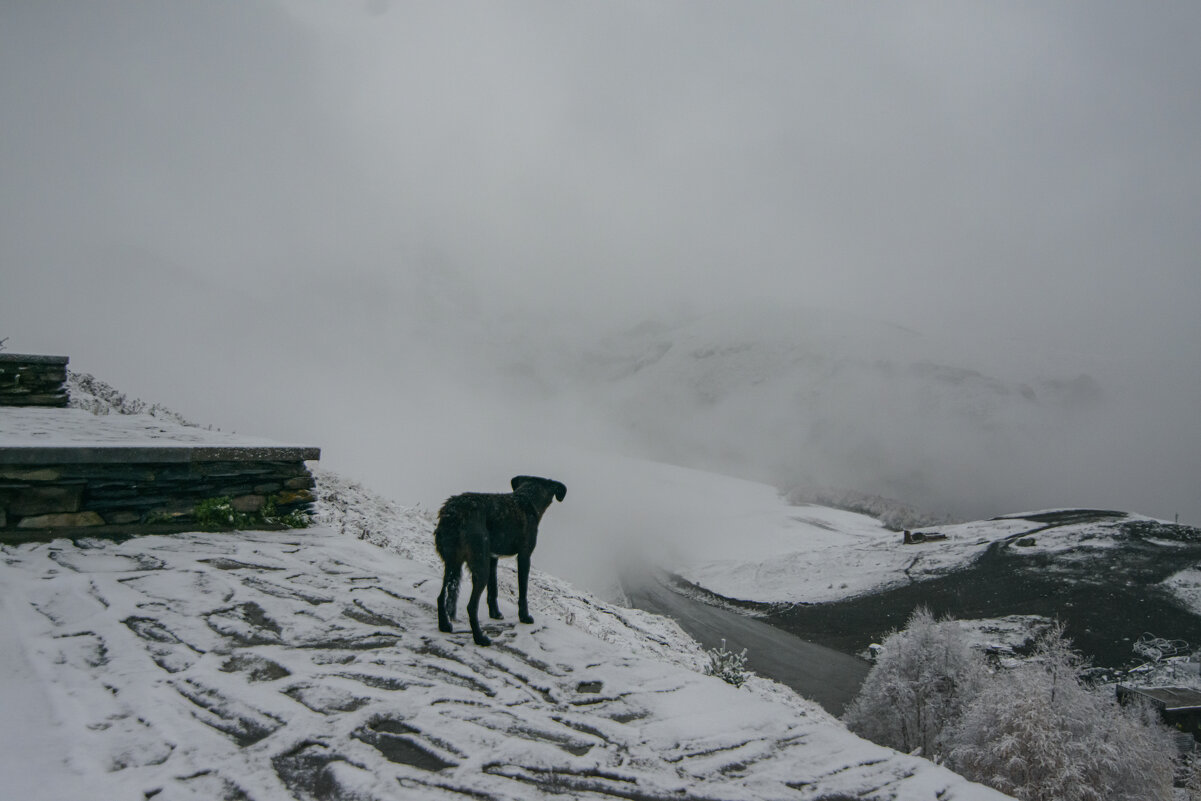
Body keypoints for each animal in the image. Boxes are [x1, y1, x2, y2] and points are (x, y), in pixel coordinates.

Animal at [434, 475, 564, 643]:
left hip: (452, 562)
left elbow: (493, 589)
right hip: (479, 564)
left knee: (441, 596)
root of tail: (452, 513)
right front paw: (525, 617)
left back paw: (444, 626)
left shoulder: (492, 557)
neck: (527, 499)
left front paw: (495, 614)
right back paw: (480, 638)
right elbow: (523, 590)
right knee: (471, 606)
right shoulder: (524, 556)